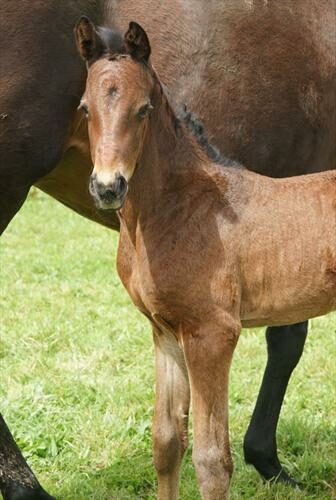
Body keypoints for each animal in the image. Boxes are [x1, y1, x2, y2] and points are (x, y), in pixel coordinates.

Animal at [0, 0, 334, 500]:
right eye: (84, 108)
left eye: (144, 110)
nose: (108, 187)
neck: (188, 205)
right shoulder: (165, 331)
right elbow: (168, 442)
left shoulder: (212, 334)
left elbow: (210, 459)